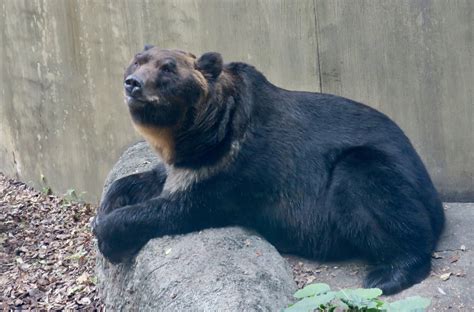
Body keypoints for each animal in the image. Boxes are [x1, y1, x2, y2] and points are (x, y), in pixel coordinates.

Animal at [92, 44, 444, 294]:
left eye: (167, 68)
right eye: (138, 61)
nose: (133, 84)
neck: (205, 133)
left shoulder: (239, 168)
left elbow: (187, 206)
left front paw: (108, 234)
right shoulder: (191, 162)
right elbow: (151, 179)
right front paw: (108, 205)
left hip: (377, 168)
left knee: (367, 183)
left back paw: (388, 273)